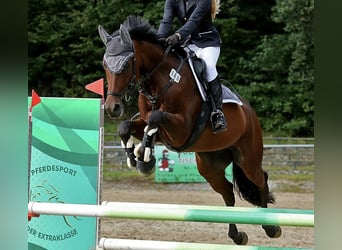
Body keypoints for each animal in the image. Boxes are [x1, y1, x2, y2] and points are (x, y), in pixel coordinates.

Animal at [97, 15, 282, 244]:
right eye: (105, 64)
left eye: (125, 64)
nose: (112, 108)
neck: (161, 81)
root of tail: (249, 111)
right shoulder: (154, 127)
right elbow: (128, 126)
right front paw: (137, 157)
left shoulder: (181, 129)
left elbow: (155, 118)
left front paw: (145, 157)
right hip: (209, 166)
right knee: (228, 192)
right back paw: (237, 235)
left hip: (248, 158)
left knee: (260, 180)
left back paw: (271, 227)